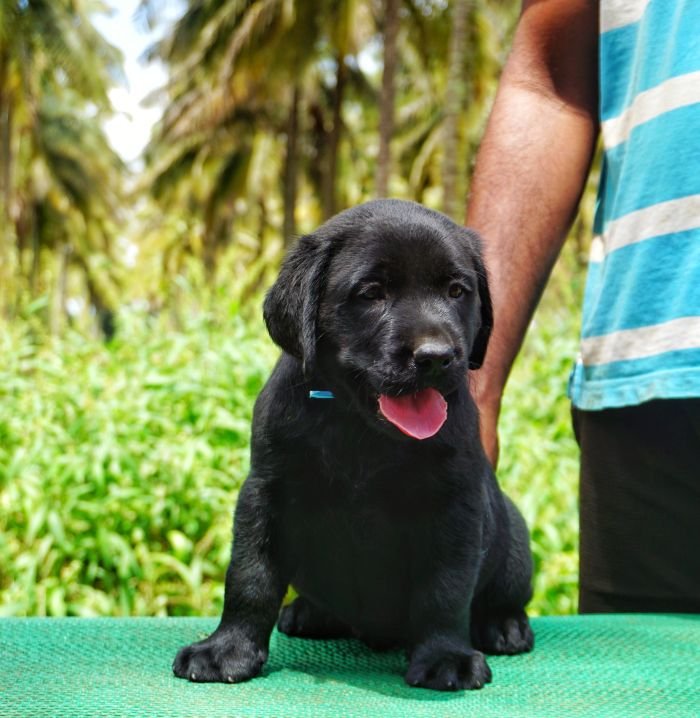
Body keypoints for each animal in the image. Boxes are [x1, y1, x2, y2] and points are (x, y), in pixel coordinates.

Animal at [172, 201, 532, 692]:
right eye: (372, 293)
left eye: (458, 291)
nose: (436, 356)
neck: (360, 430)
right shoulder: (266, 491)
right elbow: (250, 574)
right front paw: (227, 649)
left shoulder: (455, 504)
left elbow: (446, 587)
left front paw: (446, 656)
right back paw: (309, 613)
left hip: (513, 539)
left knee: (503, 592)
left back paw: (504, 625)